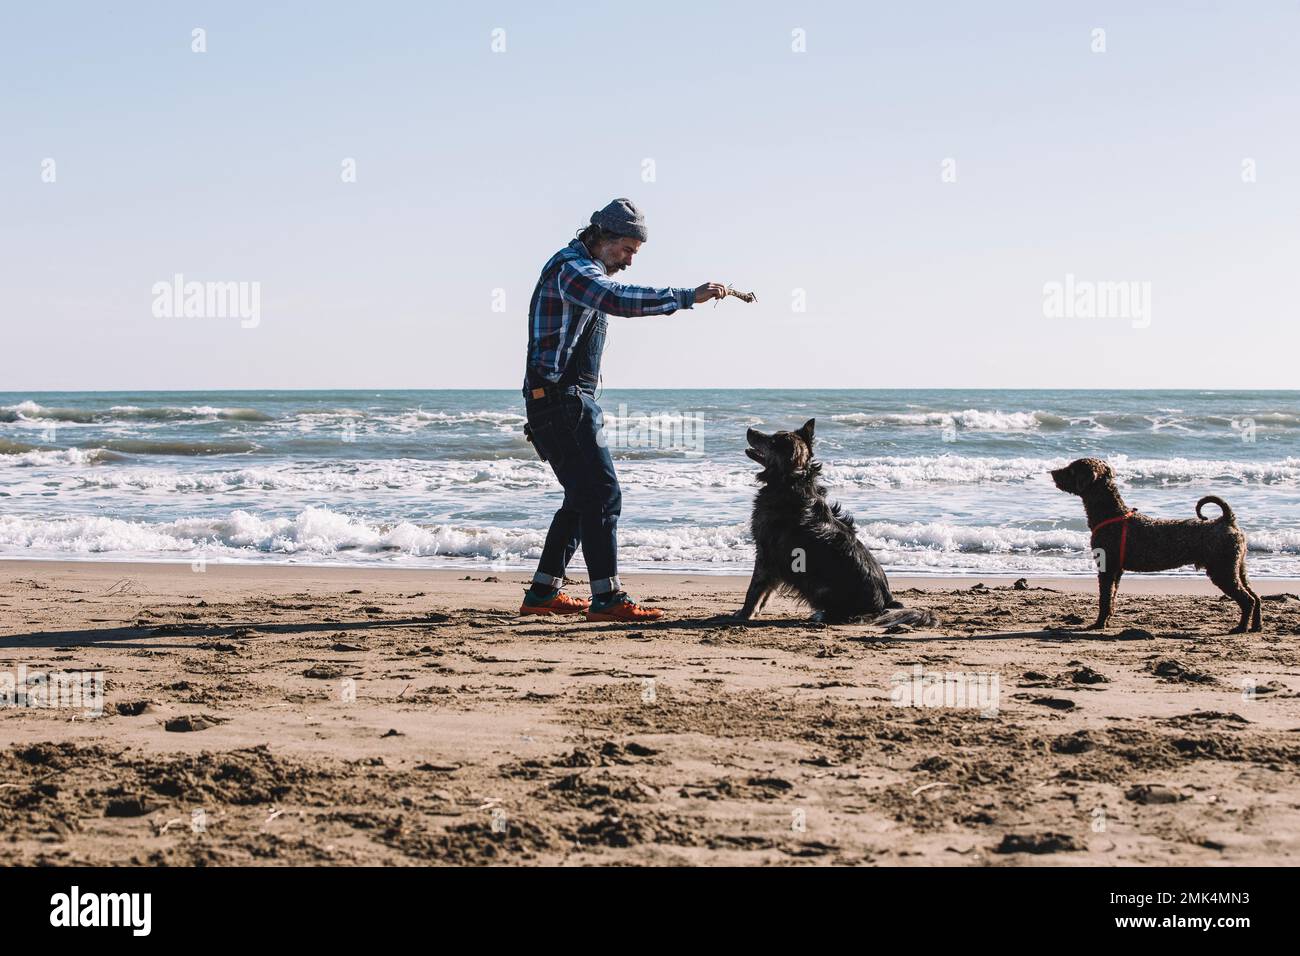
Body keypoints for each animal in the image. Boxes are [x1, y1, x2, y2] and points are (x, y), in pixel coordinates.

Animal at [733, 418, 935, 629]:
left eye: (772, 441)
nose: (750, 429)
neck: (790, 482)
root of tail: (885, 604)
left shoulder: (767, 554)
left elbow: (754, 591)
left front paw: (743, 614)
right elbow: (766, 593)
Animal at [1055, 457, 1258, 634]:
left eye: (1071, 469)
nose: (1052, 472)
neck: (1111, 513)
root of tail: (1227, 520)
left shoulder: (1107, 568)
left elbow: (1104, 600)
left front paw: (1098, 624)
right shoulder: (1117, 571)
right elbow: (1111, 599)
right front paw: (1105, 621)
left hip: (1223, 571)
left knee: (1247, 600)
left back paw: (1241, 628)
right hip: (1238, 568)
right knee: (1256, 597)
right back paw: (1256, 626)